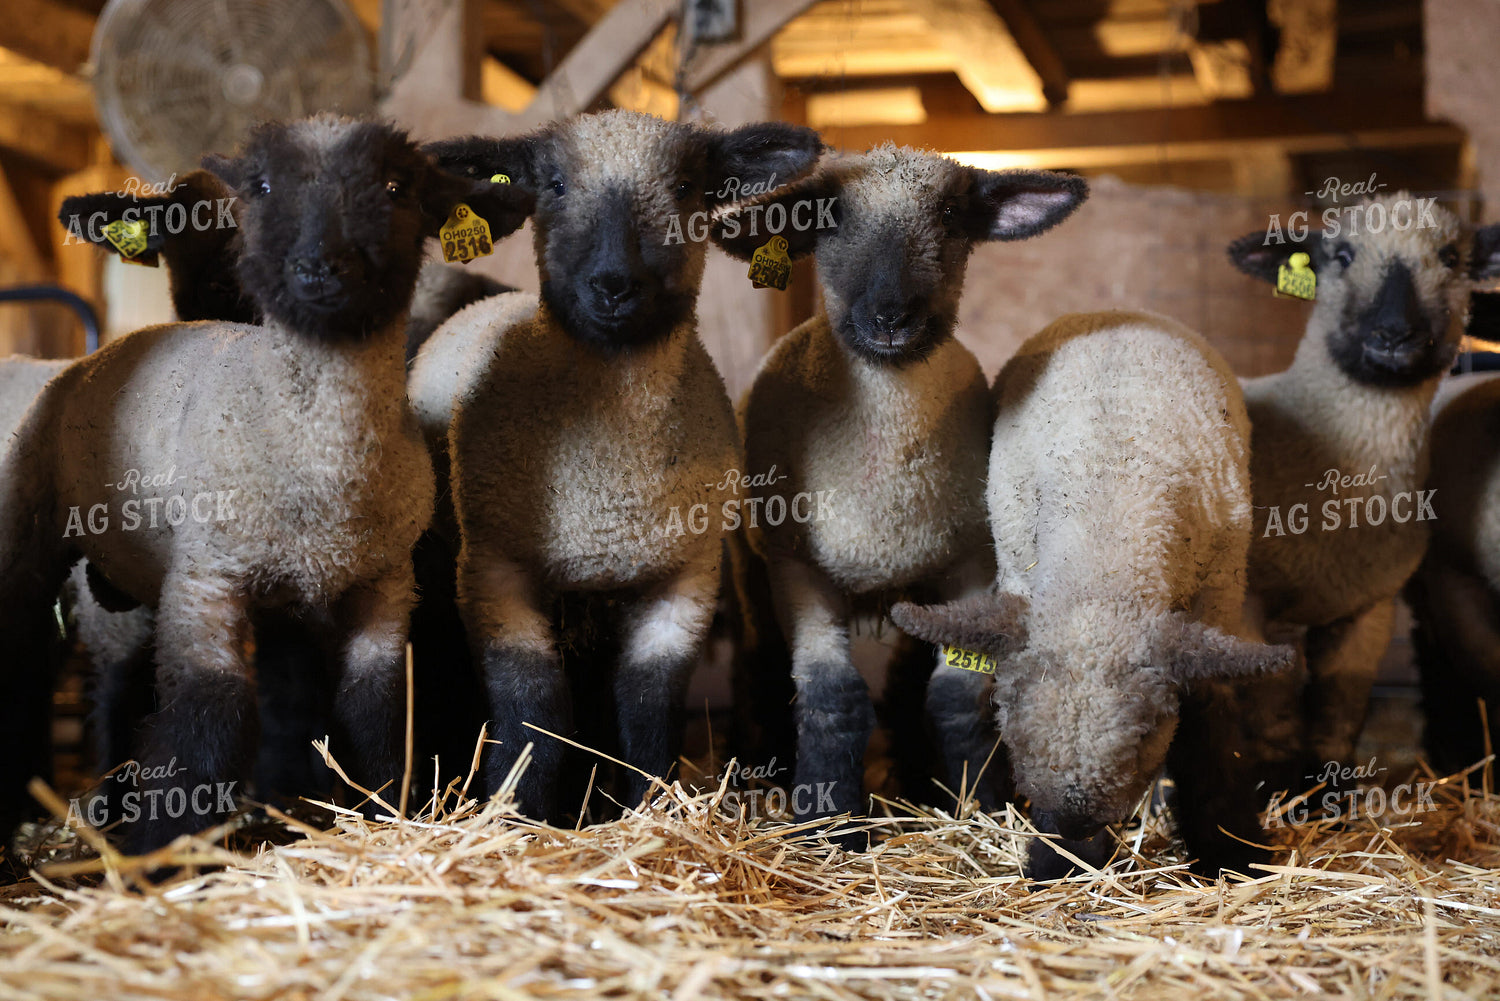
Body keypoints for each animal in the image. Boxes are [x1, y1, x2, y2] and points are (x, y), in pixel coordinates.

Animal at [0, 115, 532, 852]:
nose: (318, 269)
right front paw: (166, 852)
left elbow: (376, 709)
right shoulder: (207, 579)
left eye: (396, 187)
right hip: (34, 535)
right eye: (266, 187)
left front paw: (382, 814)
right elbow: (211, 714)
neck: (318, 461)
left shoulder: (383, 585)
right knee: (36, 661)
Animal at [409, 110, 825, 821]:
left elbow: (647, 712)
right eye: (553, 184)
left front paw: (646, 809)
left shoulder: (684, 579)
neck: (610, 484)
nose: (613, 284)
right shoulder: (493, 573)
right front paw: (515, 813)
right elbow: (535, 713)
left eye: (686, 187)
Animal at [708, 146, 1087, 828]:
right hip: (749, 568)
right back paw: (761, 763)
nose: (890, 316)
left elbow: (957, 695)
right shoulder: (799, 567)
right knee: (759, 663)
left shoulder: (970, 562)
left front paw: (982, 804)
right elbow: (832, 693)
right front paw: (831, 823)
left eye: (951, 213)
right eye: (827, 216)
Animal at [890, 310, 1296, 879]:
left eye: (1147, 731)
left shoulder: (1216, 603)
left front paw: (1232, 851)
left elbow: (1211, 732)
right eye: (1007, 711)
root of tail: (1121, 314)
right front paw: (1059, 864)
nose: (1072, 825)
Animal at [1223, 194, 1500, 796]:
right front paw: (1278, 794)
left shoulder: (1369, 607)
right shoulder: (1250, 606)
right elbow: (1273, 718)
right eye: (1343, 255)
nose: (1394, 332)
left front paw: (1330, 795)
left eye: (1450, 257)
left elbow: (1338, 717)